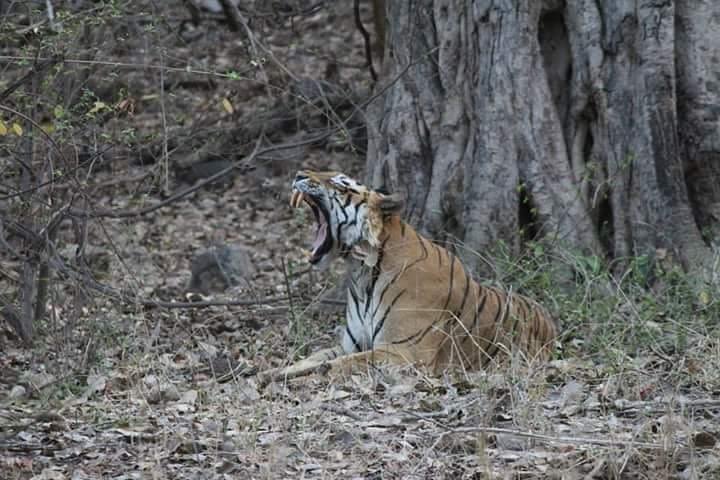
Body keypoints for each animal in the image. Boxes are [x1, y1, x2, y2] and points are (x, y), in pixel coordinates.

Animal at [258, 171, 556, 384]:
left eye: (341, 185)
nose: (299, 174)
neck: (361, 272)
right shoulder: (351, 345)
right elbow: (313, 357)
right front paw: (269, 373)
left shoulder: (405, 352)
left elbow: (341, 364)